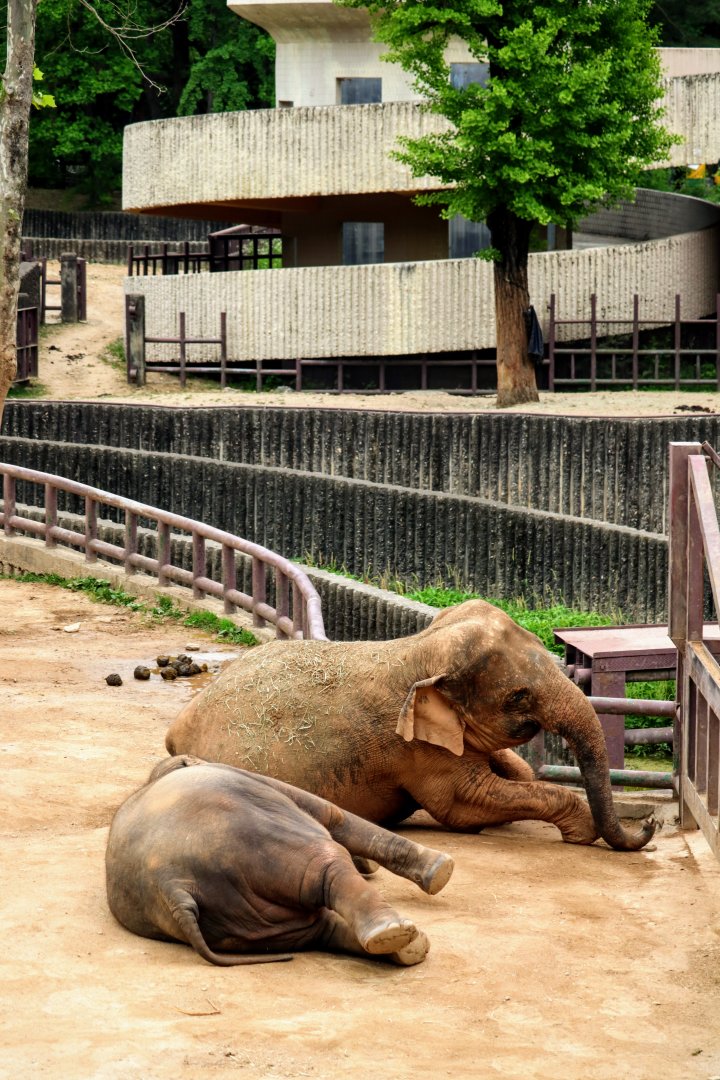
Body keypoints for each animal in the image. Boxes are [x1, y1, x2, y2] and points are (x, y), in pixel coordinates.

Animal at [105, 755, 453, 966]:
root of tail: (172, 887)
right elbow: (335, 815)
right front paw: (441, 870)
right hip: (264, 841)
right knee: (328, 866)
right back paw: (393, 933)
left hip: (244, 921)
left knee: (320, 927)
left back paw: (410, 948)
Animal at [165, 599, 656, 851]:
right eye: (518, 696)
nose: (650, 827)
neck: (420, 647)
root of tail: (174, 730)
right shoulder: (412, 750)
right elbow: (465, 805)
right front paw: (582, 833)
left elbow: (515, 770)